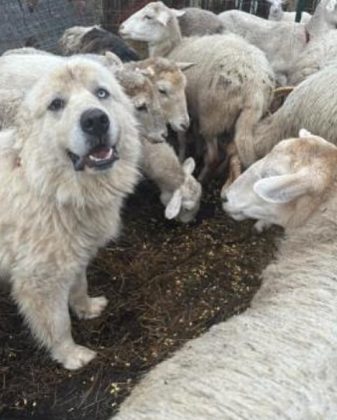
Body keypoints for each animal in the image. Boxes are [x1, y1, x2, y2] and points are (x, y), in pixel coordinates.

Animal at [0, 57, 140, 370]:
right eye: (56, 104)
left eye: (101, 93)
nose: (95, 120)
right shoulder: (39, 279)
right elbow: (59, 323)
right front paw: (71, 356)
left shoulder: (74, 254)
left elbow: (79, 286)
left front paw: (87, 308)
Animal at [119, 1, 274, 182]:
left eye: (148, 16)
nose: (121, 27)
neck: (170, 49)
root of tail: (254, 88)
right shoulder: (193, 109)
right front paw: (198, 150)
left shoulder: (185, 112)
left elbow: (183, 138)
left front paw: (182, 157)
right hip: (238, 118)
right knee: (231, 148)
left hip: (213, 117)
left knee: (214, 156)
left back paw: (203, 177)